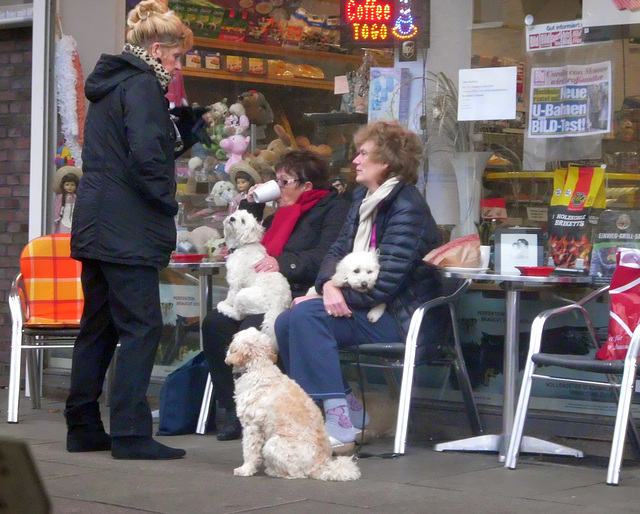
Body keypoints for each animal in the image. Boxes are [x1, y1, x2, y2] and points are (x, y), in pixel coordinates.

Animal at [225, 328, 360, 480]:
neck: (258, 368)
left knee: (296, 474)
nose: (226, 349)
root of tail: (319, 466)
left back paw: (274, 471)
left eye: (232, 343)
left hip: (272, 445)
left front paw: (245, 469)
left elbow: (250, 450)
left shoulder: (252, 426)